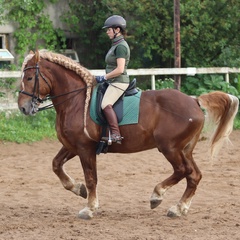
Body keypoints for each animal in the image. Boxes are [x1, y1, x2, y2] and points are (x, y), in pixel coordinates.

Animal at [18, 50, 238, 219]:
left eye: (29, 78)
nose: (23, 108)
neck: (76, 100)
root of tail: (194, 100)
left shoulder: (85, 148)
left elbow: (91, 178)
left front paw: (89, 209)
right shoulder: (73, 146)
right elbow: (56, 165)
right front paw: (78, 189)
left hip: (169, 147)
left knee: (183, 171)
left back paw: (157, 195)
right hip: (185, 149)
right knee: (194, 175)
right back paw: (179, 208)